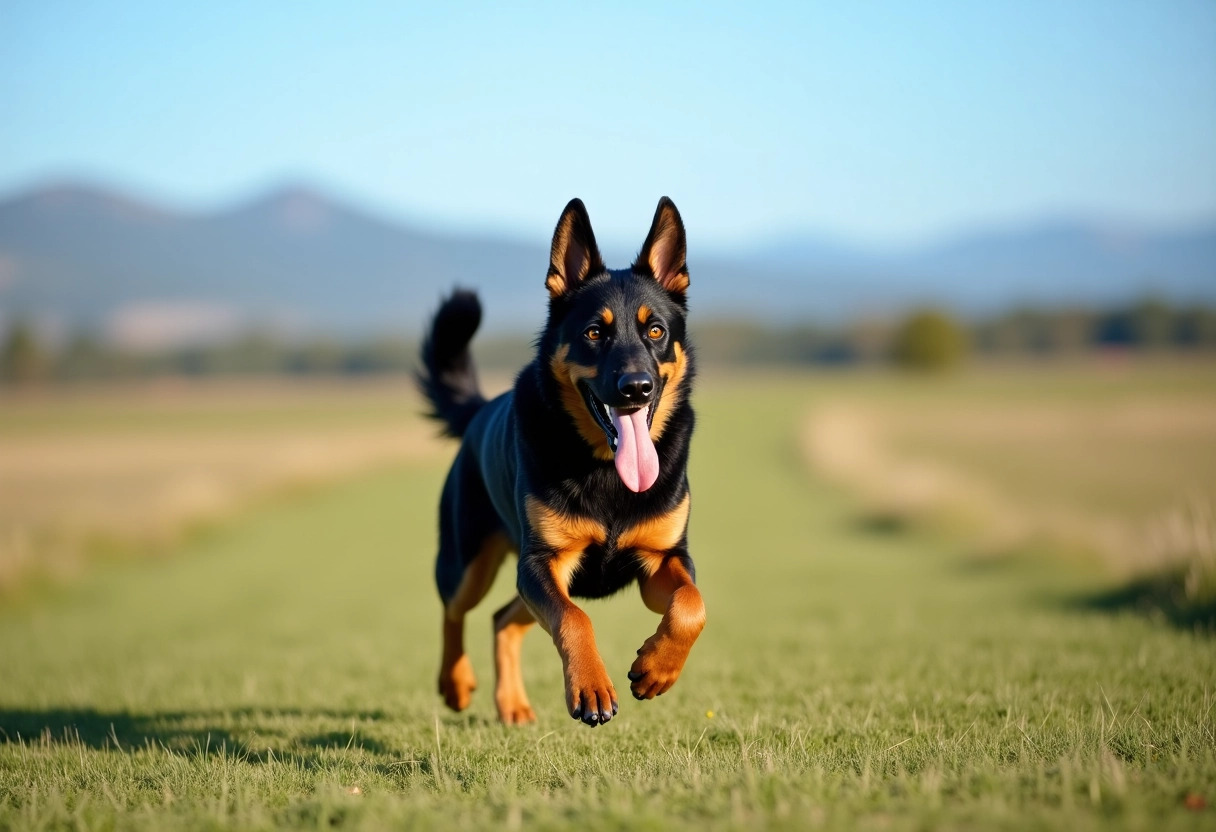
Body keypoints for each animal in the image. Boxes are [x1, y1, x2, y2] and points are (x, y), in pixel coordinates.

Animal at [418, 198, 705, 724]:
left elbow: (691, 606)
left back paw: (510, 704)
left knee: (502, 619)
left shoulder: (664, 559)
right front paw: (591, 686)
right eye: (594, 332)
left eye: (655, 330)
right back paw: (455, 682)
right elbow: (574, 617)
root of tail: (479, 411)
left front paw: (657, 668)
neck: (606, 468)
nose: (637, 388)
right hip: (468, 561)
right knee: (455, 609)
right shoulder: (541, 562)